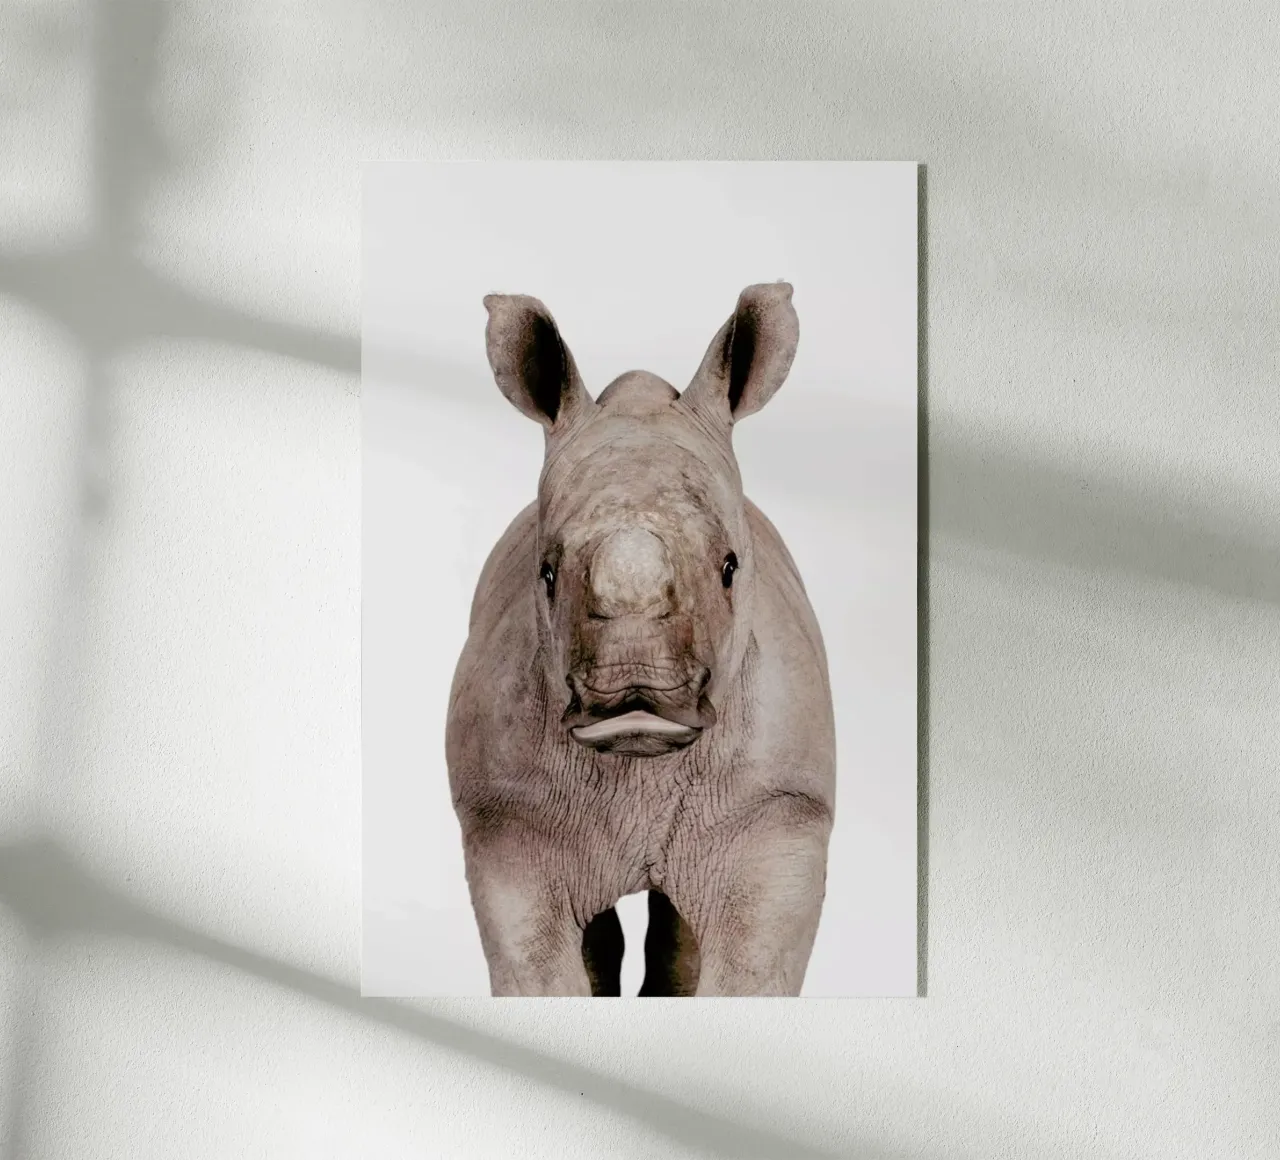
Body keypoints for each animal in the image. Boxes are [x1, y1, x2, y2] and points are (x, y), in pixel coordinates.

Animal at [446, 282, 836, 997]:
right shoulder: (507, 818)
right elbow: (538, 968)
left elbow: (749, 970)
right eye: (545, 574)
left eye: (731, 567)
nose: (636, 694)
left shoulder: (778, 813)